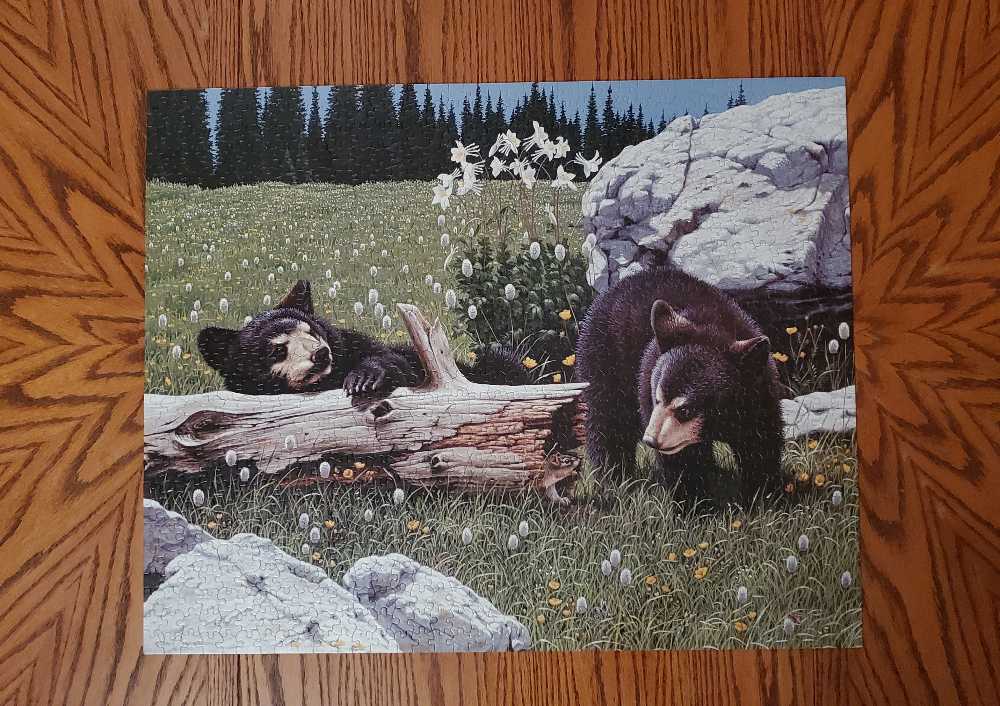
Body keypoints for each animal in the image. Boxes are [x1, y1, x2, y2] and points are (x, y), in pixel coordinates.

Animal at [197, 280, 528, 397]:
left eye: (311, 332)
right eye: (277, 351)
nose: (321, 354)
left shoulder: (354, 345)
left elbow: (395, 360)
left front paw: (364, 377)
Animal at [576, 266, 785, 506]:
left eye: (685, 409)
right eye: (657, 398)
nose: (651, 440)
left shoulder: (758, 395)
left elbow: (760, 443)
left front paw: (763, 495)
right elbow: (681, 461)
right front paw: (694, 503)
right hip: (604, 359)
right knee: (608, 424)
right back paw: (614, 480)